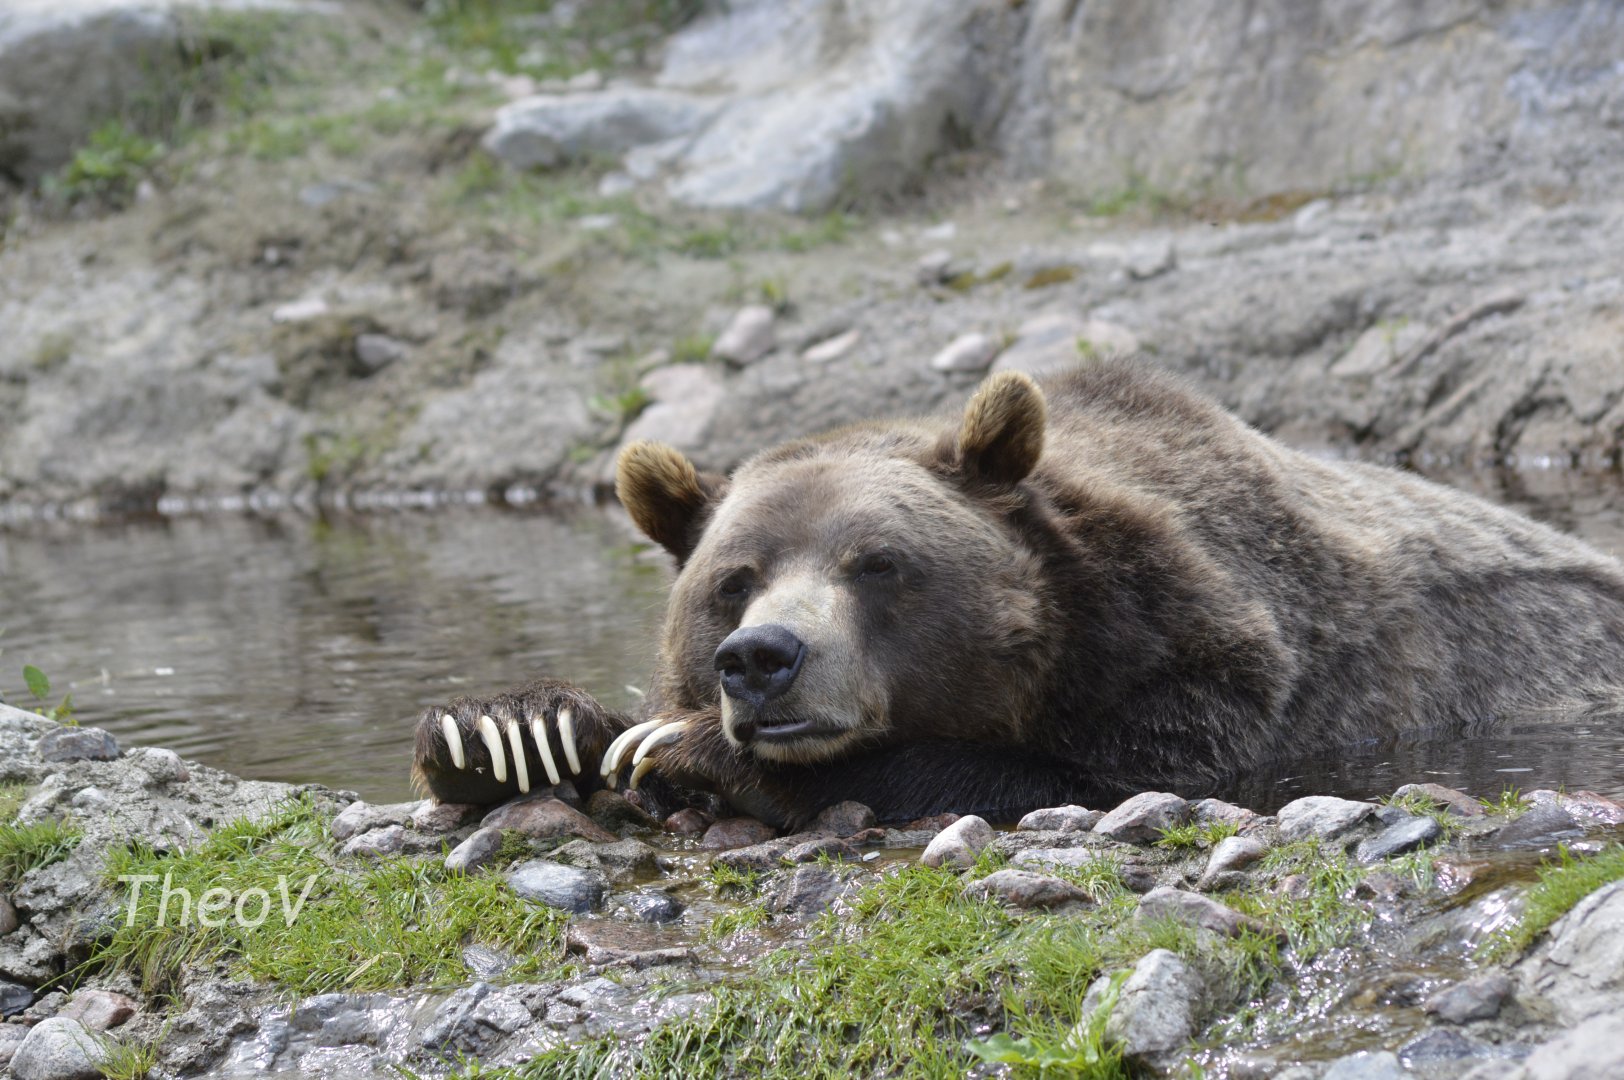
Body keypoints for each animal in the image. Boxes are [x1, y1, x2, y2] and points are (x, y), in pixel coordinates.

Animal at [410, 360, 1624, 828]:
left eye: (876, 563)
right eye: (732, 579)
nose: (761, 660)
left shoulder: (1231, 682)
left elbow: (1059, 775)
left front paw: (688, 752)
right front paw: (512, 729)